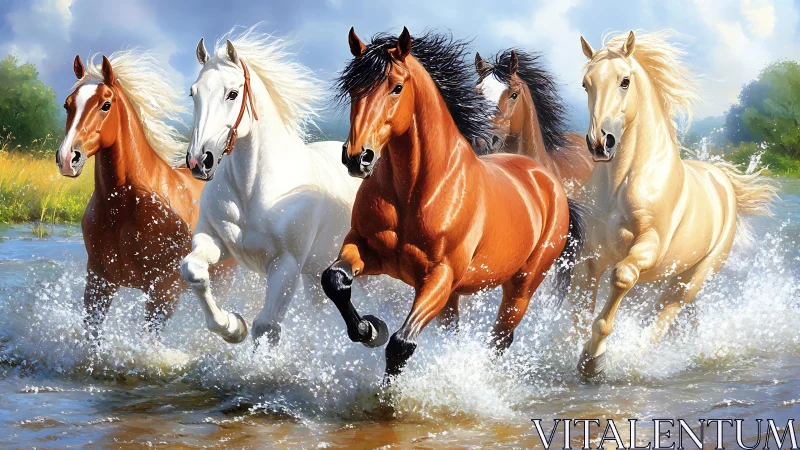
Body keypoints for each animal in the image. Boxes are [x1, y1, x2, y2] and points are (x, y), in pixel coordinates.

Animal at [180, 27, 362, 346]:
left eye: (232, 93)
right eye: (194, 93)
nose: (199, 161)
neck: (253, 189)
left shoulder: (285, 265)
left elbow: (266, 326)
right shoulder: (214, 241)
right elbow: (194, 271)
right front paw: (232, 327)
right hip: (315, 274)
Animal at [573, 31, 776, 378]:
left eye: (625, 81)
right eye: (586, 84)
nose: (600, 143)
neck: (621, 182)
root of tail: (722, 181)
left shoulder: (647, 248)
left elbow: (620, 279)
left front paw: (592, 360)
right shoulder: (590, 257)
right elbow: (579, 312)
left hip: (690, 279)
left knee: (665, 315)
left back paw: (639, 358)